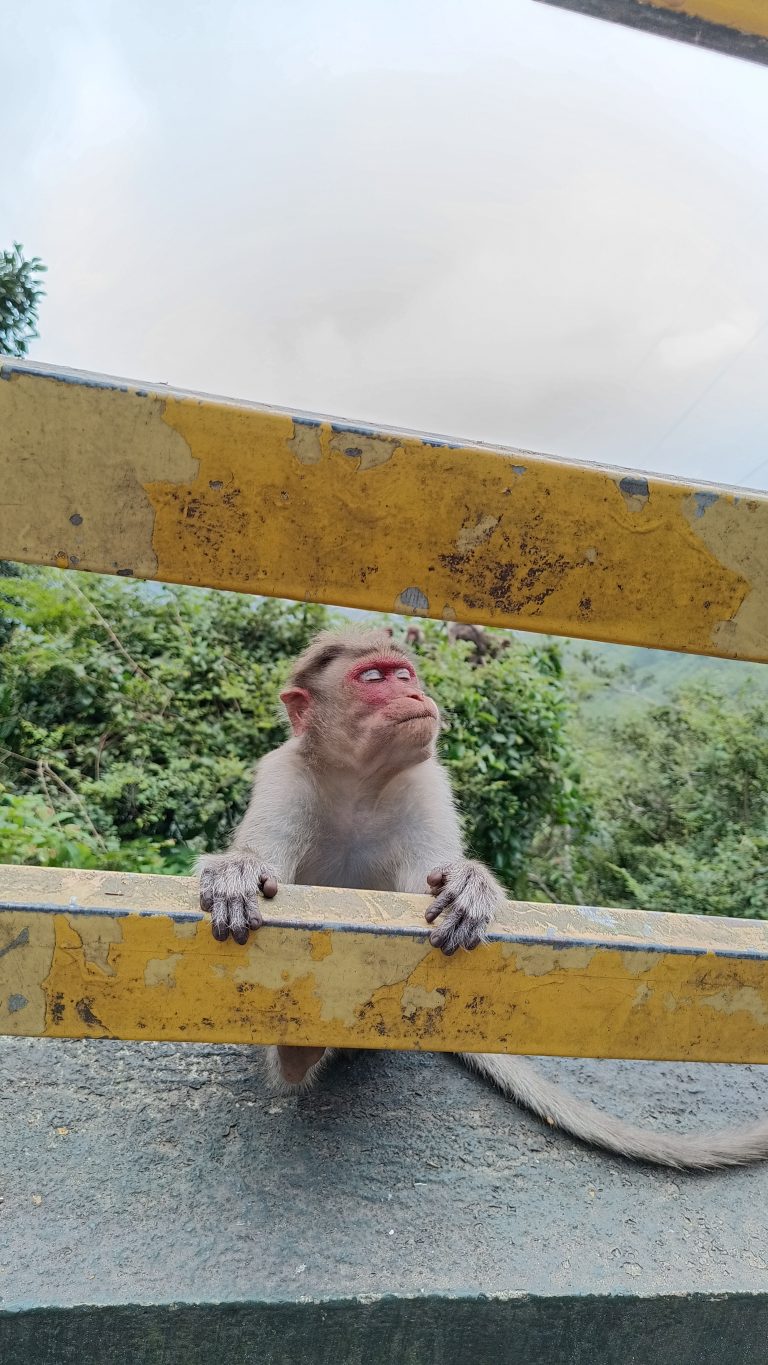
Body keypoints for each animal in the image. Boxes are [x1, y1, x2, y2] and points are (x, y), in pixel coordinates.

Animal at [200, 627, 768, 1173]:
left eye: (404, 674)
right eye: (374, 678)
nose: (413, 693)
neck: (357, 783)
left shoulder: (424, 782)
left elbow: (424, 893)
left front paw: (469, 883)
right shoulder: (284, 774)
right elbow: (266, 865)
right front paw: (236, 872)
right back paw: (299, 1050)